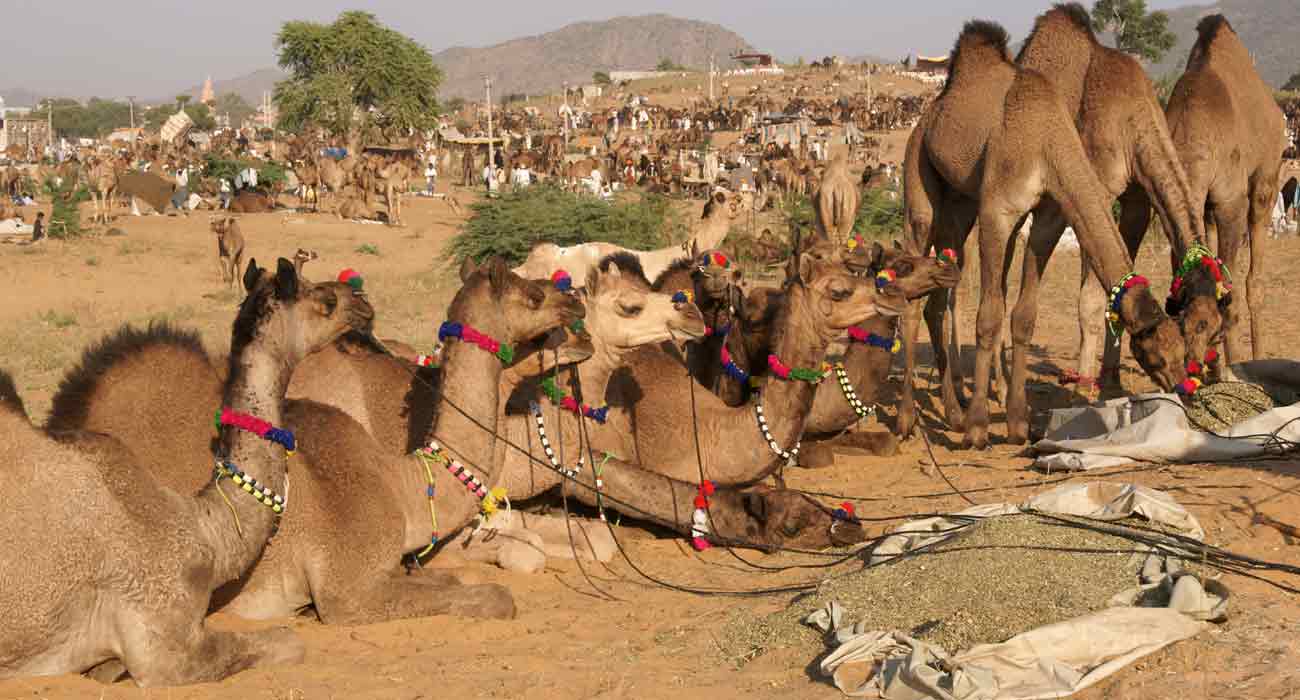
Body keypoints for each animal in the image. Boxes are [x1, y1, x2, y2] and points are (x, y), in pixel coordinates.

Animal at [899, 21, 1190, 447]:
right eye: (1156, 354)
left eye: (1183, 349)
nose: (1185, 387)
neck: (1047, 140)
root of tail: (928, 116)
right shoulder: (999, 212)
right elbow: (989, 316)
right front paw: (978, 428)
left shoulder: (1049, 218)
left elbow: (1024, 316)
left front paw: (1019, 424)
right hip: (919, 179)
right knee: (911, 294)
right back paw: (908, 420)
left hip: (960, 205)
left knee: (937, 299)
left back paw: (952, 413)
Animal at [1013, 4, 1227, 398]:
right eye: (1194, 325)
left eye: (1217, 329)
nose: (1191, 380)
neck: (1133, 120)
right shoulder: (1099, 188)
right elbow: (1092, 300)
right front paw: (1084, 385)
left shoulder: (1138, 201)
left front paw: (1110, 381)